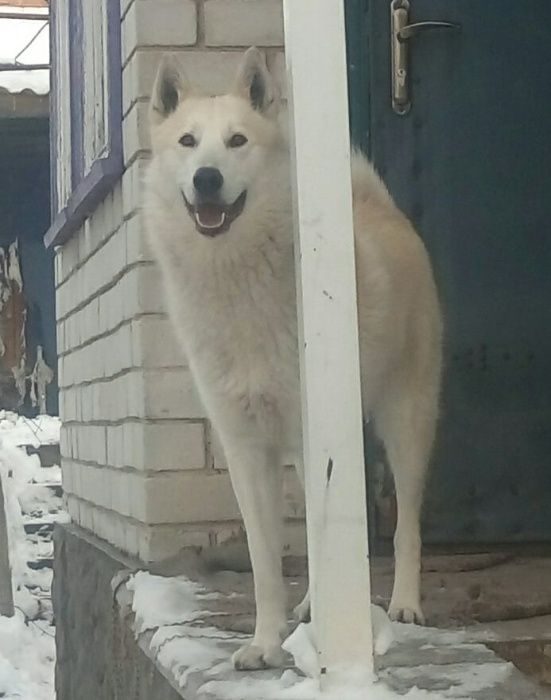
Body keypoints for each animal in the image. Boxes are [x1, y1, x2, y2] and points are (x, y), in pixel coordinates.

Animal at [143, 46, 444, 668]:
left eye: (237, 141)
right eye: (187, 141)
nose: (207, 178)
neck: (235, 277)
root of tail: (377, 205)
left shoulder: (317, 433)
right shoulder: (245, 449)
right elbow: (264, 562)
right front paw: (265, 642)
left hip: (406, 420)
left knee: (406, 522)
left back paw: (404, 604)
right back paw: (311, 606)